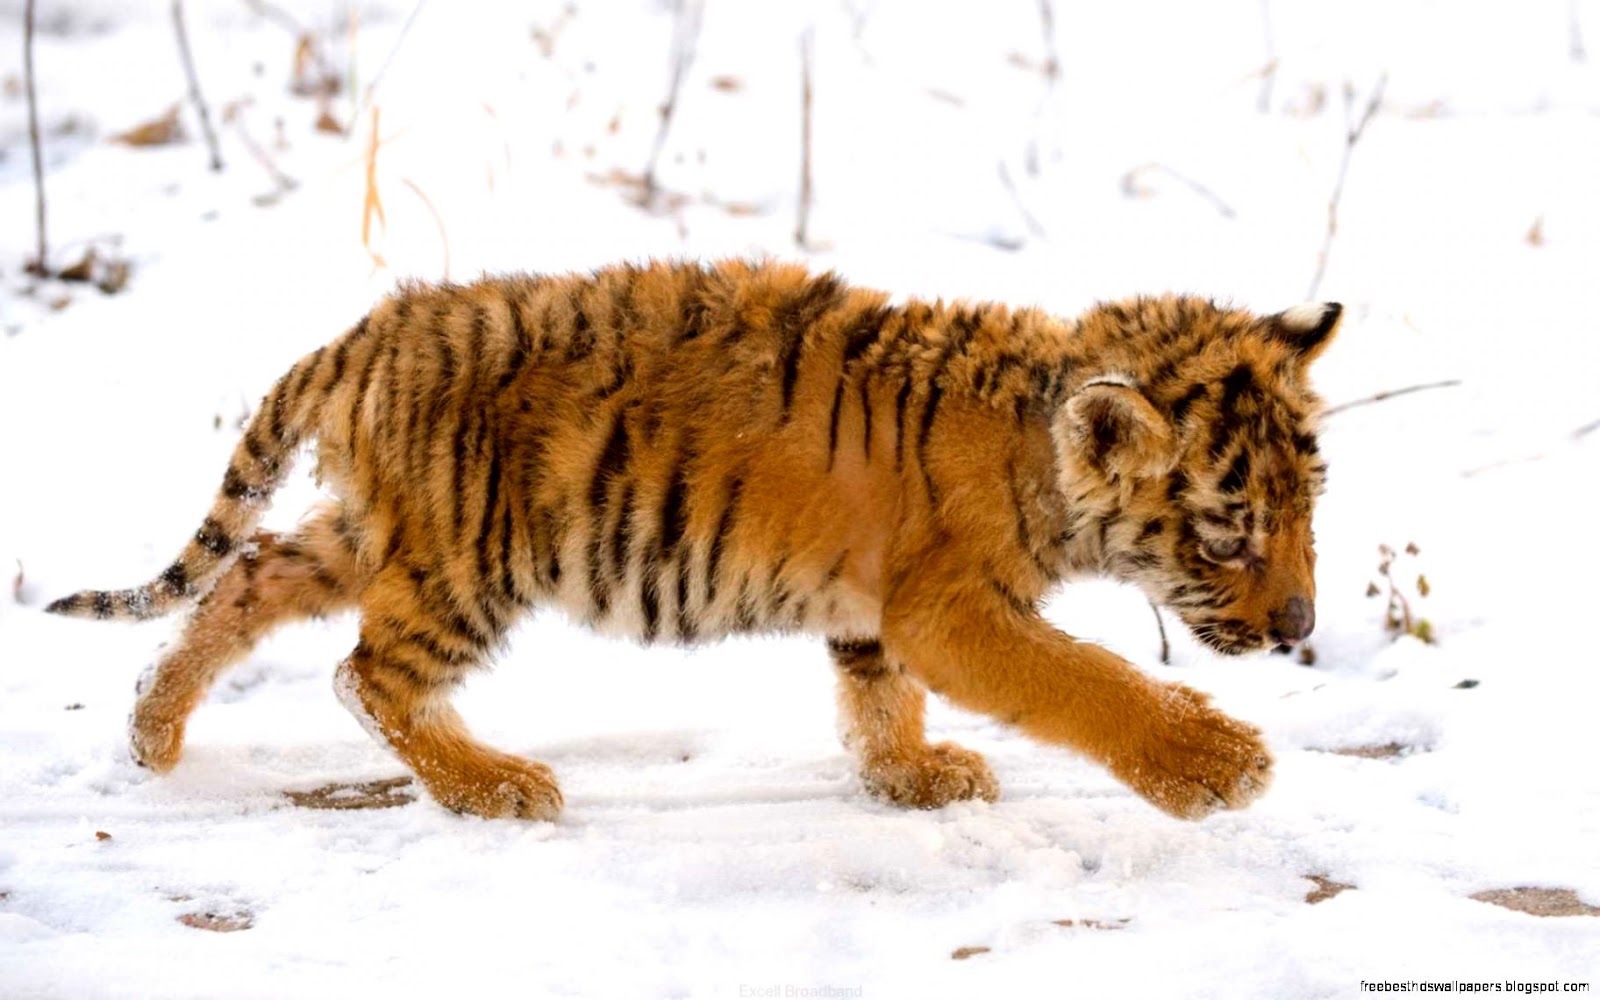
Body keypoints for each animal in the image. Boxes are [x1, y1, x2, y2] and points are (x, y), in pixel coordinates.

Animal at [45, 259, 1339, 822]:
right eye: (1231, 534)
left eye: (1309, 509)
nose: (1301, 624)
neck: (1039, 434)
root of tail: (366, 333)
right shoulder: (952, 608)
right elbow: (1086, 678)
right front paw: (1216, 765)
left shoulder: (877, 614)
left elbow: (878, 699)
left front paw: (911, 778)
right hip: (467, 559)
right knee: (367, 674)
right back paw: (494, 785)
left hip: (374, 532)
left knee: (247, 577)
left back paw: (153, 732)